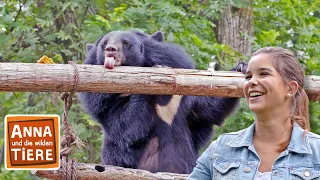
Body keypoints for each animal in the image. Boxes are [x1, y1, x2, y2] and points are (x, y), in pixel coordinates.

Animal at [79, 30, 246, 174]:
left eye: (126, 43)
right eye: (104, 43)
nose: (111, 49)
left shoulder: (182, 99)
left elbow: (206, 111)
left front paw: (241, 67)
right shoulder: (105, 103)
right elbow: (125, 126)